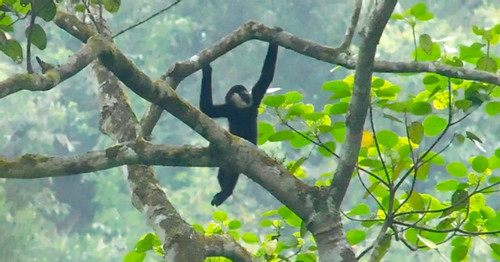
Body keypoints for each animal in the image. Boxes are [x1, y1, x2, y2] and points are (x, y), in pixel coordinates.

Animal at [199, 42, 278, 207]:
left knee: (233, 171)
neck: (240, 109)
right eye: (242, 92)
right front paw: (207, 70)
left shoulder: (254, 101)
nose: (247, 94)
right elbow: (207, 109)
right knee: (223, 172)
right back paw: (224, 192)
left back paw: (226, 192)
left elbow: (266, 77)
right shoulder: (228, 109)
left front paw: (273, 39)